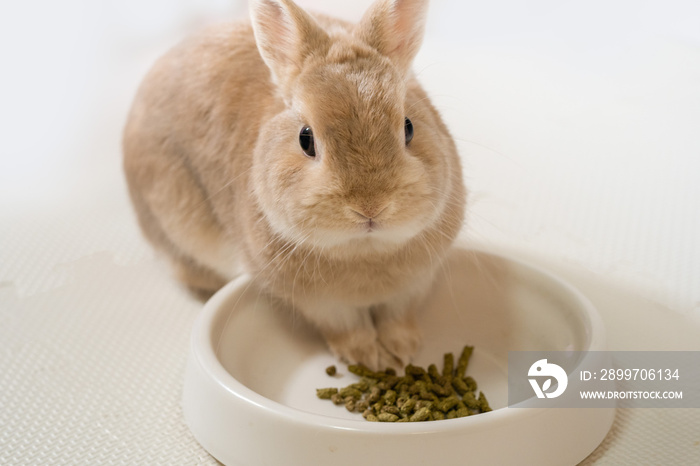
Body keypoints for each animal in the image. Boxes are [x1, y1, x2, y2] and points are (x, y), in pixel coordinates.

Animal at [123, 0, 468, 372]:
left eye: (408, 128)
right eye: (306, 139)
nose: (370, 207)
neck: (364, 251)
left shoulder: (413, 286)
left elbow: (397, 316)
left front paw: (402, 350)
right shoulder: (319, 303)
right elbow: (346, 326)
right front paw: (366, 357)